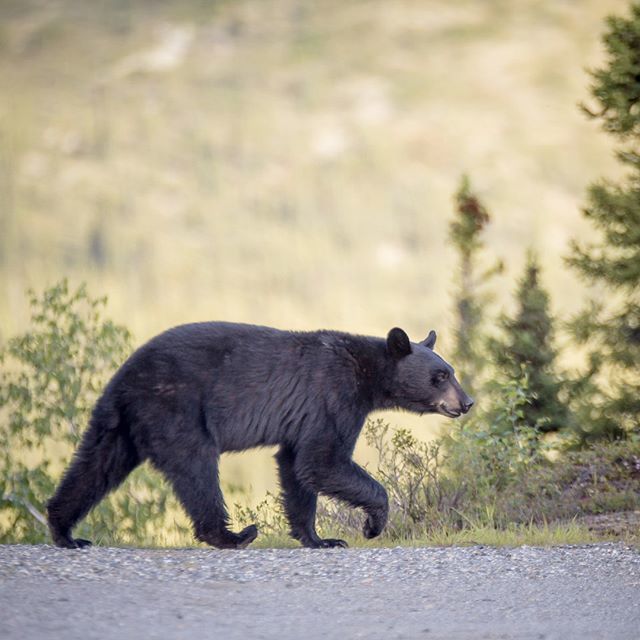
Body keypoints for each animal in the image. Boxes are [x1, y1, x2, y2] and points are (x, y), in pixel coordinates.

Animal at [47, 322, 473, 549]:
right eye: (440, 376)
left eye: (451, 371)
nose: (467, 402)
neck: (366, 373)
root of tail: (125, 376)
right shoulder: (332, 396)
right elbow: (323, 460)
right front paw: (372, 524)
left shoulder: (304, 418)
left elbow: (297, 467)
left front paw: (319, 539)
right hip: (175, 408)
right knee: (196, 468)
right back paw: (233, 535)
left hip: (121, 423)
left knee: (94, 466)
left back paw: (65, 531)